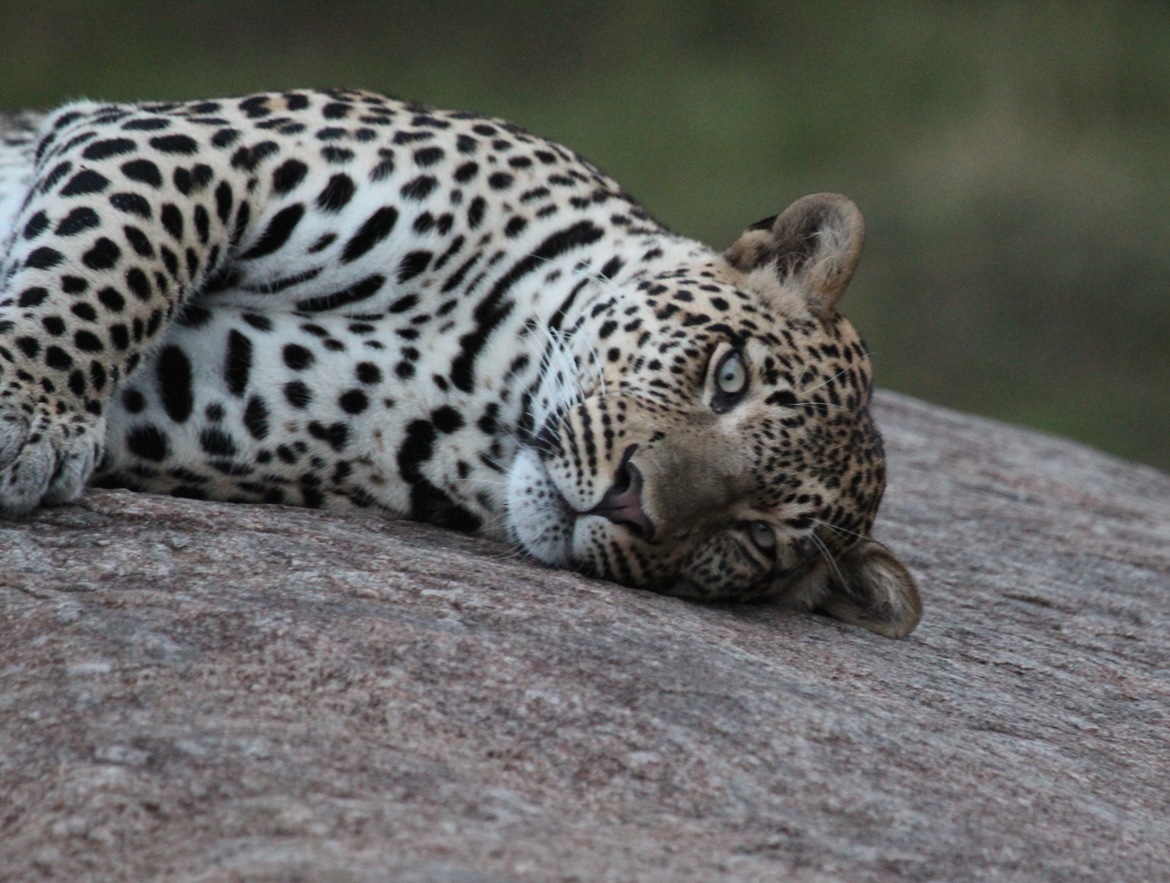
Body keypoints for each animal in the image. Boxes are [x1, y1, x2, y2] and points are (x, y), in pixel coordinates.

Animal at [0, 89, 921, 638]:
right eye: (729, 377)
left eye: (757, 537)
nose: (631, 502)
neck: (486, 376)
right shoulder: (201, 146)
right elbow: (111, 266)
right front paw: (28, 418)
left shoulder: (204, 389)